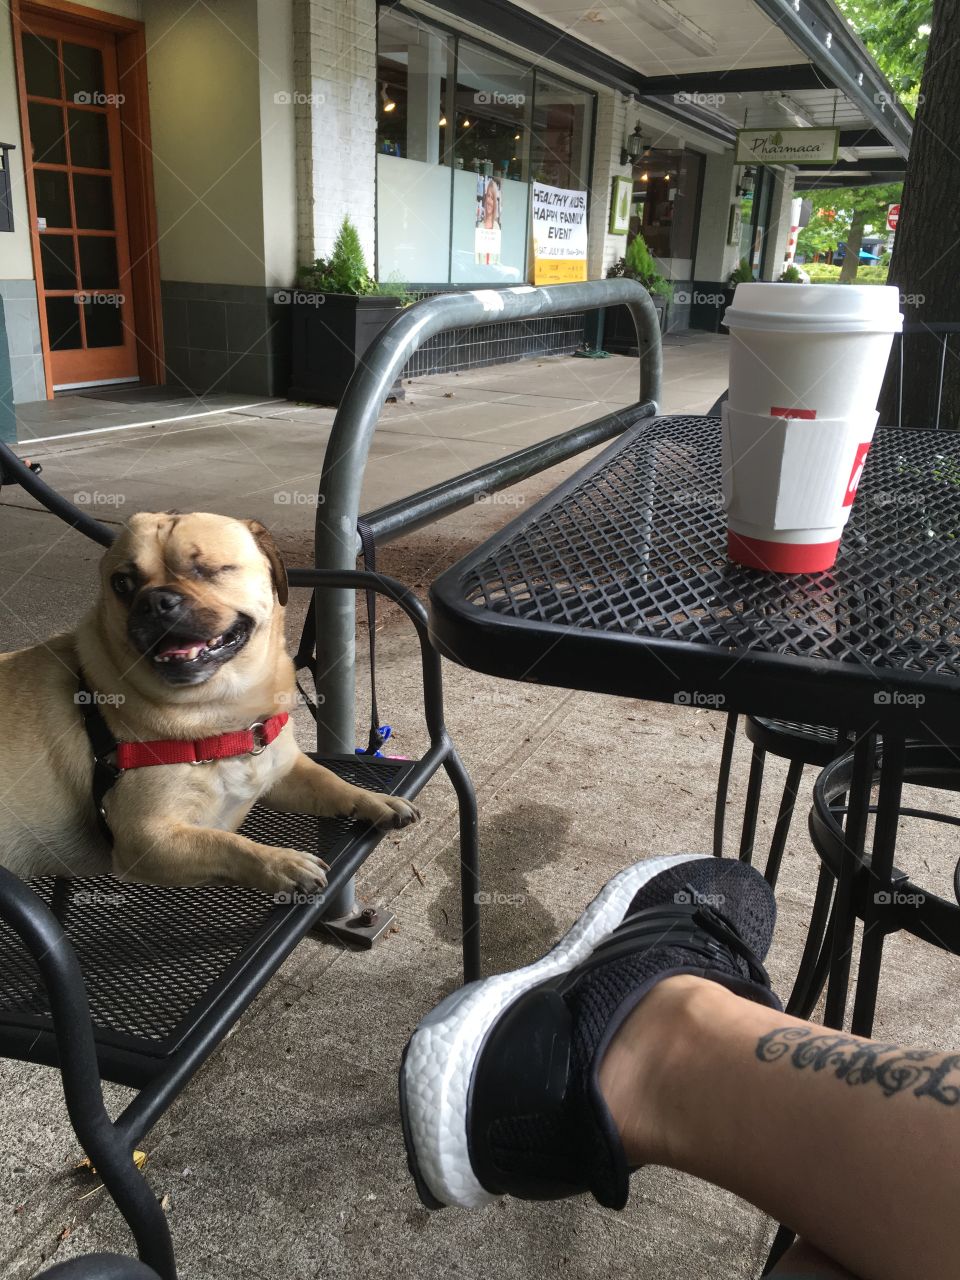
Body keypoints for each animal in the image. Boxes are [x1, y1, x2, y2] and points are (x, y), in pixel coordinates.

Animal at [0, 514, 419, 896]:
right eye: (122, 584)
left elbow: (333, 782)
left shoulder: (285, 772)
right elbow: (228, 844)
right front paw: (281, 862)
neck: (222, 711)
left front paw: (375, 800)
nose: (155, 601)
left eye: (209, 570)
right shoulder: (147, 839)